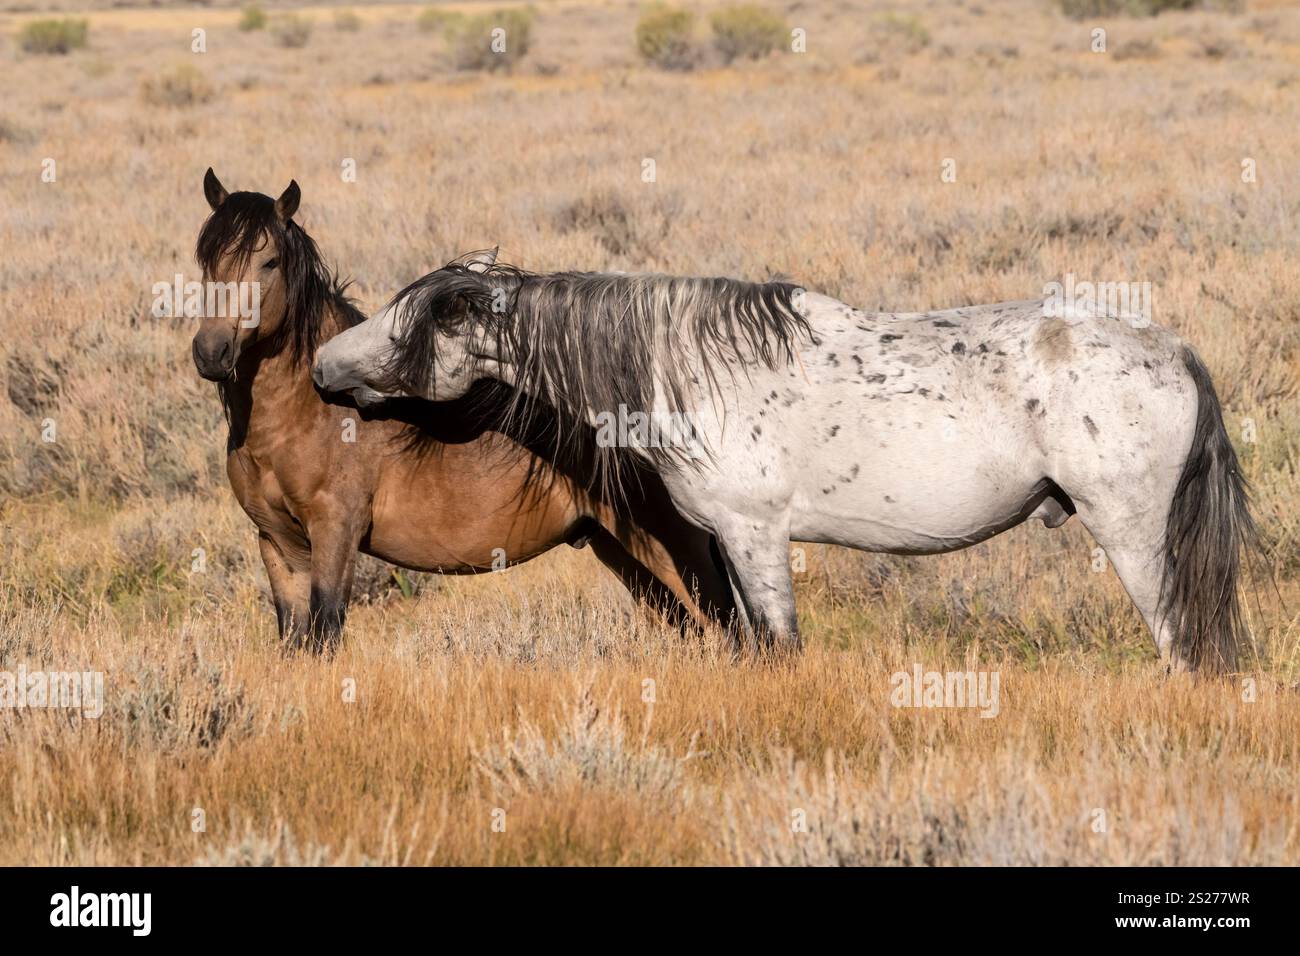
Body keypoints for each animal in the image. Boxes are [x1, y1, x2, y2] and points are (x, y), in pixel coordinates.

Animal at [190, 172, 734, 651]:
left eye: (269, 262)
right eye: (206, 260)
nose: (211, 353)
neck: (310, 413)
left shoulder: (334, 535)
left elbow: (325, 632)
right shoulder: (277, 545)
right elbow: (295, 640)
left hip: (675, 551)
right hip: (623, 552)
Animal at [312, 248, 1259, 673]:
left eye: (420, 322)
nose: (322, 366)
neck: (689, 366)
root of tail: (1174, 350)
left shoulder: (755, 536)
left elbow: (778, 642)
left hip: (1134, 538)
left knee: (1181, 643)